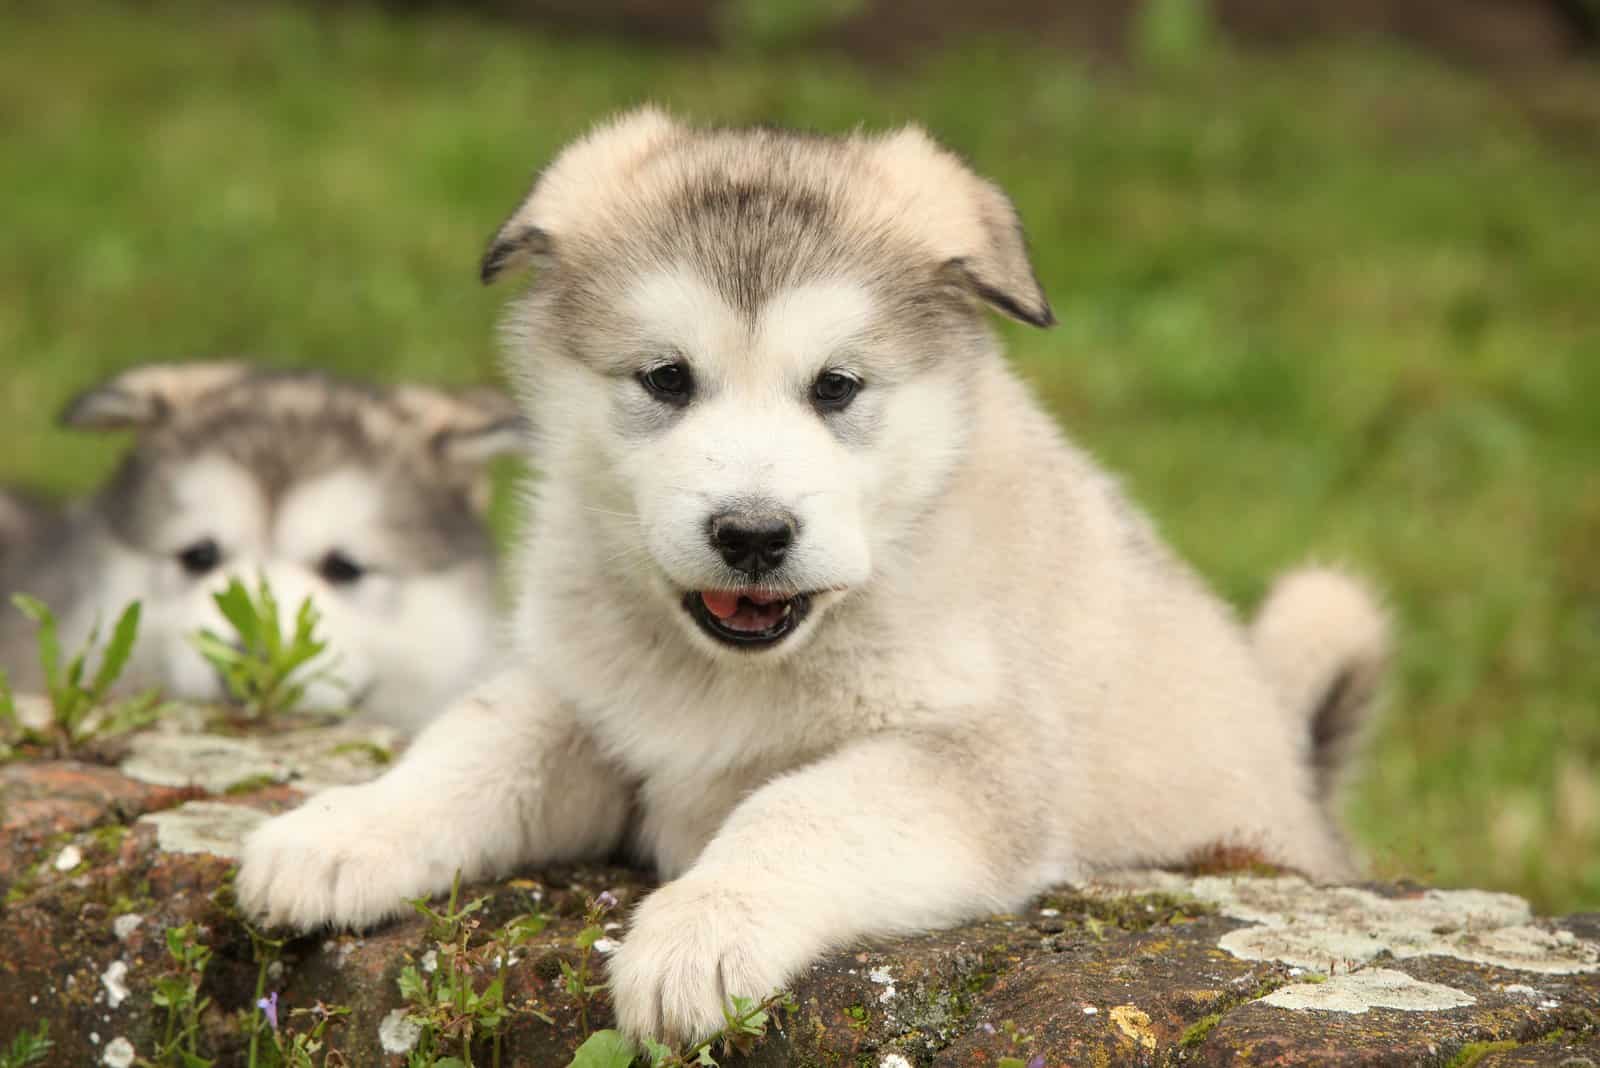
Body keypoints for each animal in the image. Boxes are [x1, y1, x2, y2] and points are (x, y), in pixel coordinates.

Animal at [233, 115, 1388, 1042]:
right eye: (666, 378)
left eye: (836, 387)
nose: (751, 535)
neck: (733, 674)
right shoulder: (586, 699)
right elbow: (473, 743)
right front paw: (346, 830)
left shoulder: (970, 762)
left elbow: (796, 808)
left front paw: (700, 930)